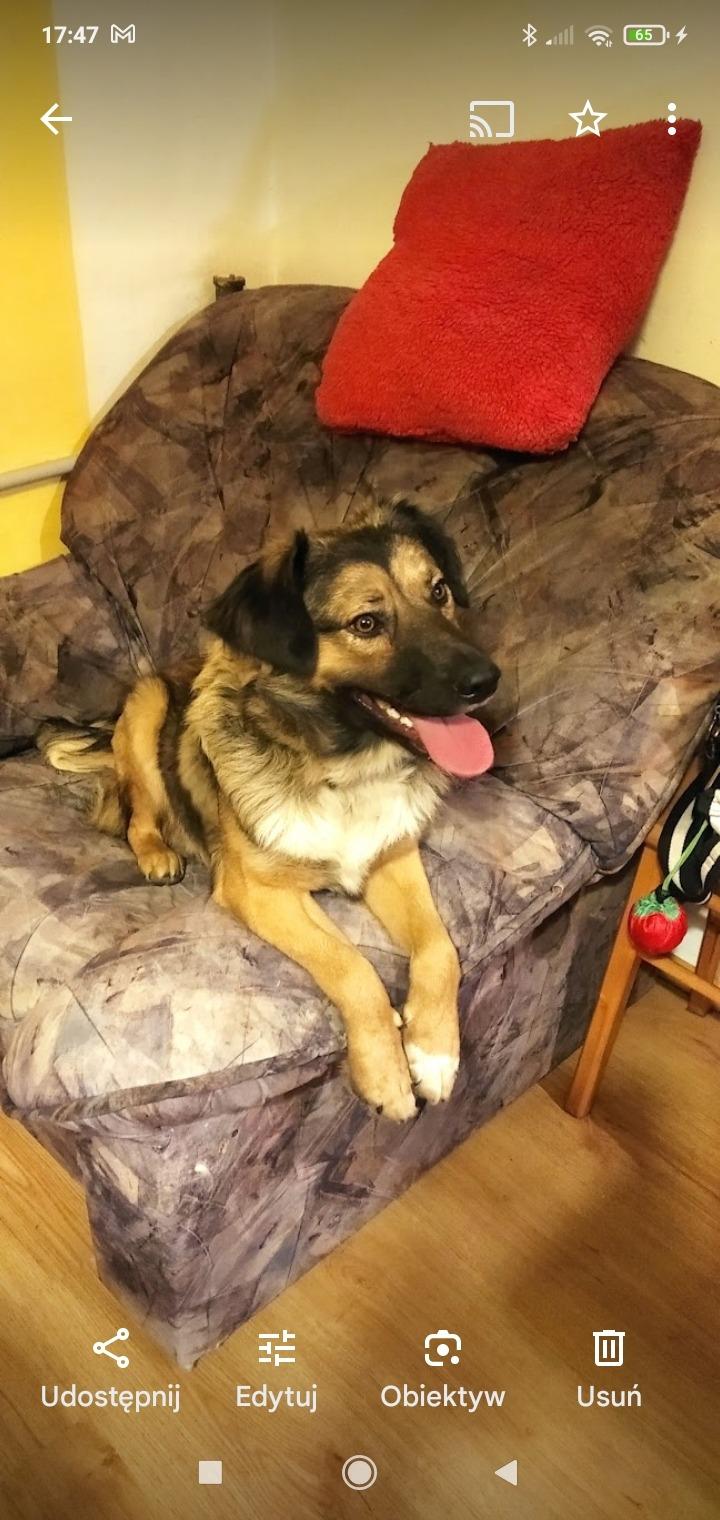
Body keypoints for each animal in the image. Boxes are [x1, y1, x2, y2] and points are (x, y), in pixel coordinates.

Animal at [38, 501, 499, 1121]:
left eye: (440, 591)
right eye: (366, 624)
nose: (487, 681)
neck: (337, 767)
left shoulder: (391, 857)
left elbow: (439, 947)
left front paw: (433, 1052)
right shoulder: (258, 892)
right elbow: (352, 967)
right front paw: (386, 1075)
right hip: (149, 710)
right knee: (135, 815)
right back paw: (157, 853)